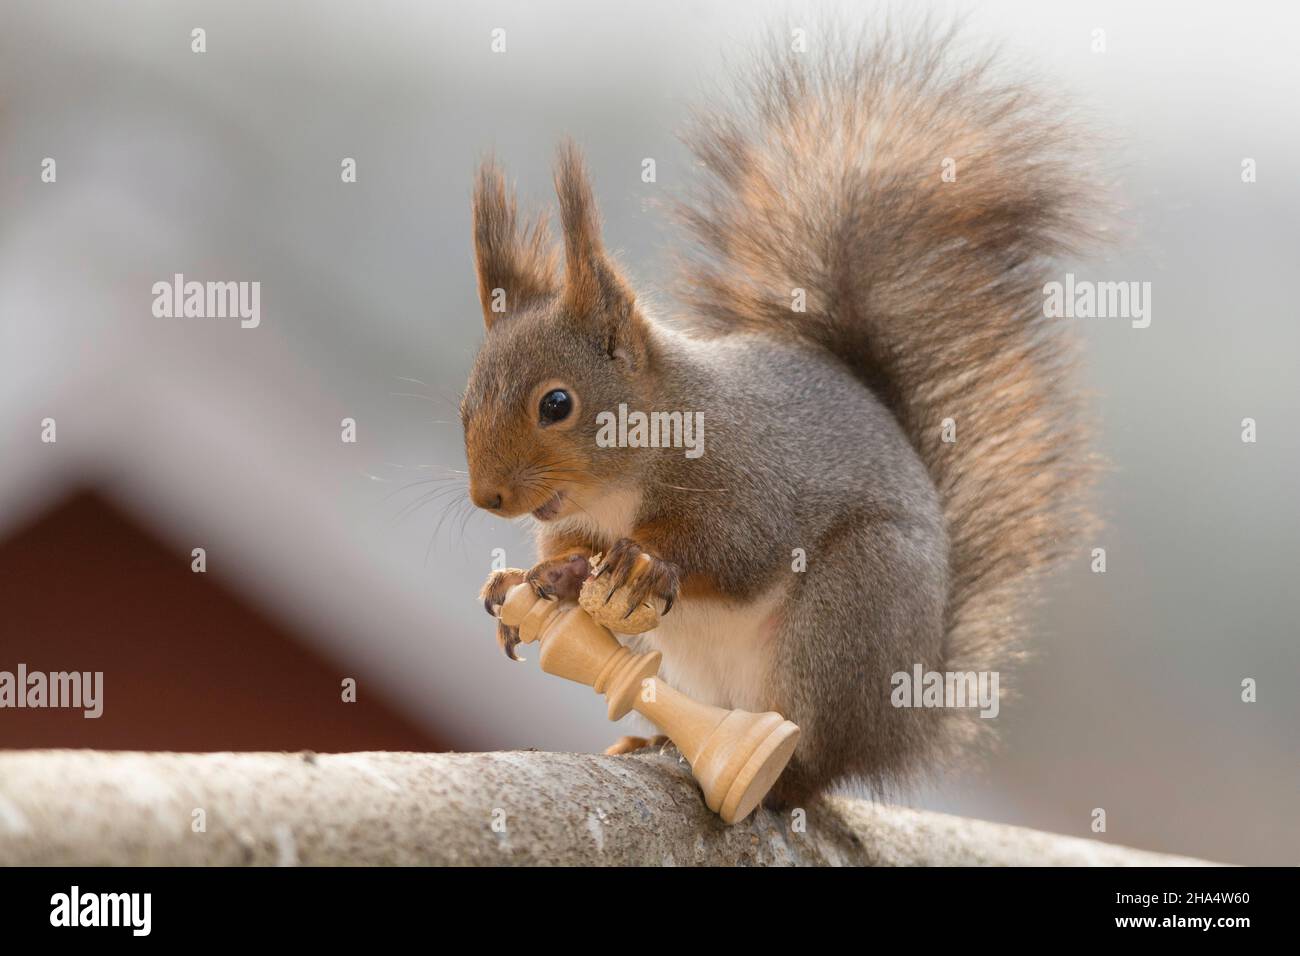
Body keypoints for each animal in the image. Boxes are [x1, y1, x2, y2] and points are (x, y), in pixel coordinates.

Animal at [462, 27, 1092, 806]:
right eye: (464, 403)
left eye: (557, 404)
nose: (486, 498)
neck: (626, 478)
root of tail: (897, 733)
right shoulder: (577, 520)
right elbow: (567, 555)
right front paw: (535, 579)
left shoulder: (749, 481)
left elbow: (737, 553)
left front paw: (640, 562)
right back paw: (657, 739)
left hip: (850, 611)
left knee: (809, 766)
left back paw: (774, 772)